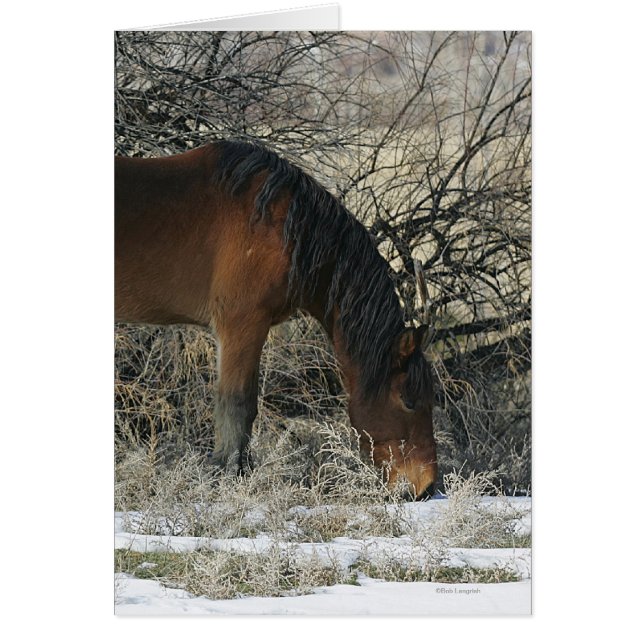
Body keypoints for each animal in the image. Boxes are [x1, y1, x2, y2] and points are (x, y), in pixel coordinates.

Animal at [115, 140, 438, 499]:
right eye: (408, 401)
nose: (426, 487)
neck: (285, 226)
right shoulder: (242, 325)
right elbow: (238, 406)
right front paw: (230, 476)